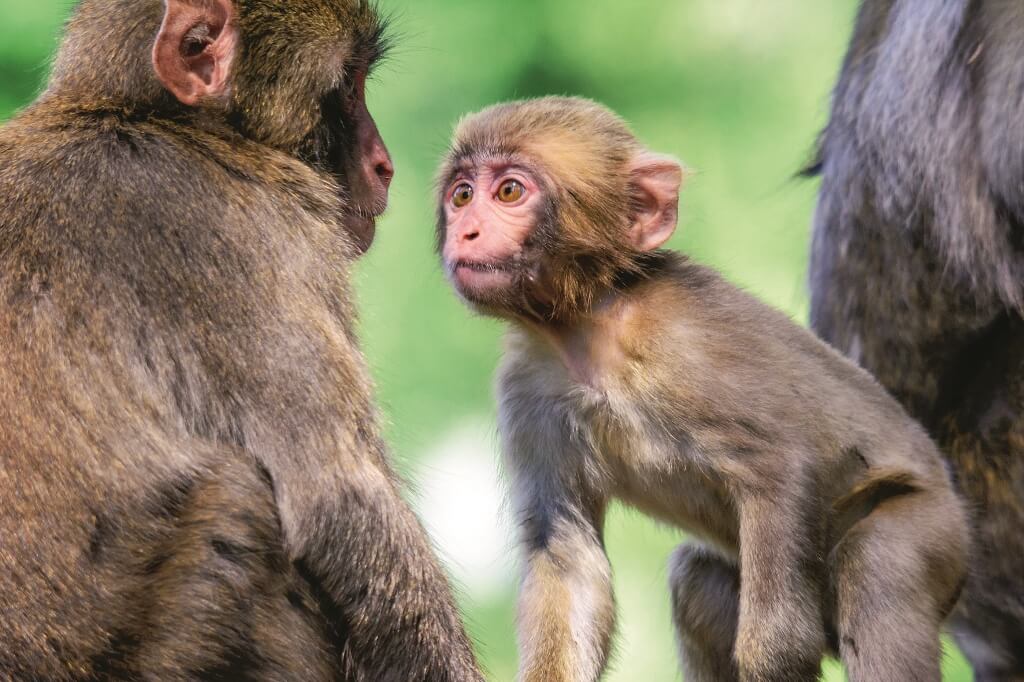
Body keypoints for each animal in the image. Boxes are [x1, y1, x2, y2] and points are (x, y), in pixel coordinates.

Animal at [436, 96, 970, 679]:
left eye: (510, 191)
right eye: (462, 195)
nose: (466, 231)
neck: (590, 327)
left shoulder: (683, 349)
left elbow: (783, 466)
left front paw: (775, 659)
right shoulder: (529, 385)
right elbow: (568, 559)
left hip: (935, 531)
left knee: (876, 561)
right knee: (697, 580)